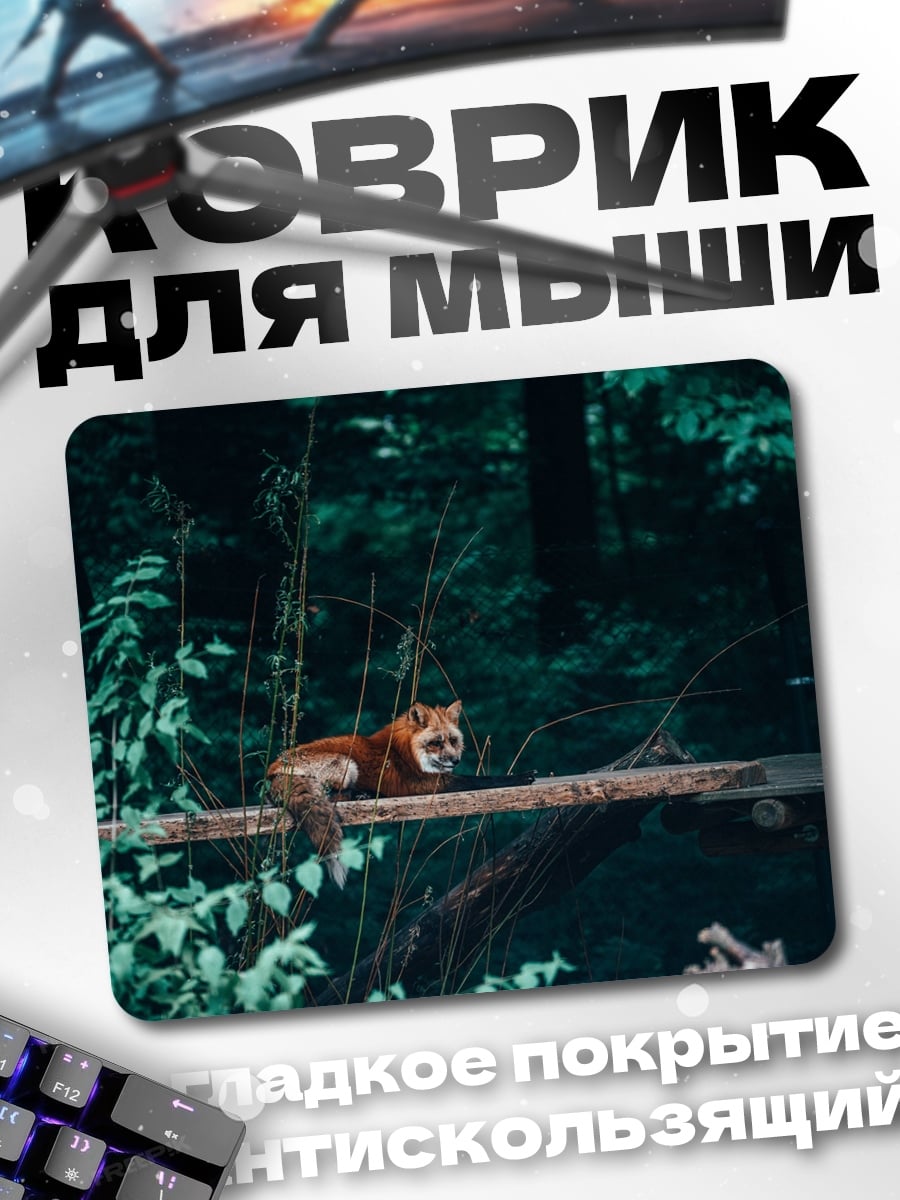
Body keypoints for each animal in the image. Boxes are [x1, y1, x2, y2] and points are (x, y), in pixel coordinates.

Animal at [267, 700, 533, 887]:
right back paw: (366, 794)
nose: (455, 760)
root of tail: (274, 770)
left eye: (453, 740)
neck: (405, 752)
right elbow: (486, 780)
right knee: (336, 797)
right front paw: (522, 777)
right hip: (346, 765)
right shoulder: (431, 785)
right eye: (436, 743)